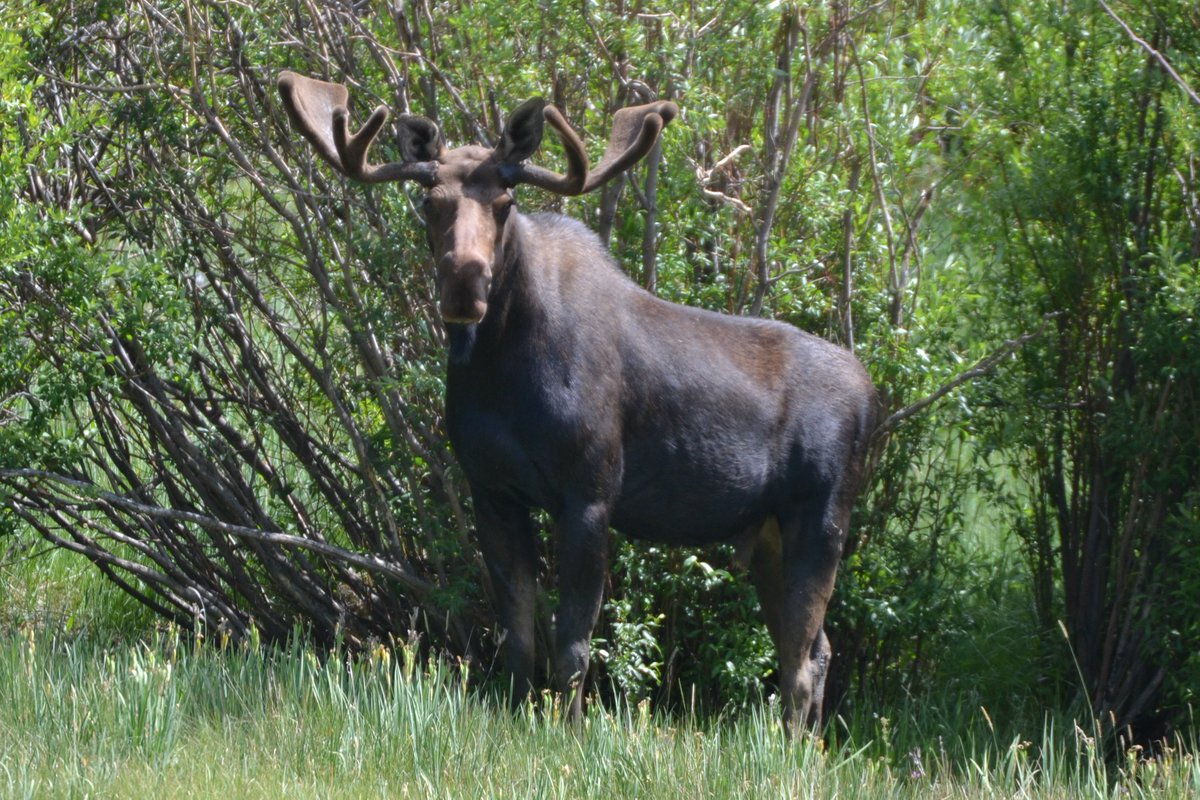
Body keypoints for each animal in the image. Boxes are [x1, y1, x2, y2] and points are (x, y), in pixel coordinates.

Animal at [278, 70, 878, 732]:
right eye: (428, 202)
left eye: (505, 204)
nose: (465, 282)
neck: (502, 374)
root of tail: (874, 397)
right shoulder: (492, 488)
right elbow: (517, 630)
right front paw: (516, 709)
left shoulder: (590, 493)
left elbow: (572, 642)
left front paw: (566, 727)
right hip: (770, 533)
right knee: (816, 647)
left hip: (821, 519)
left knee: (799, 660)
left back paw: (789, 746)